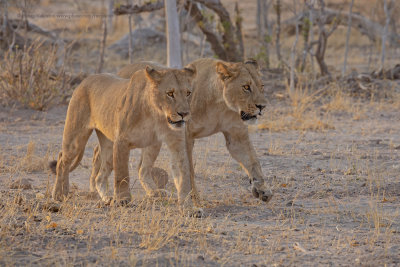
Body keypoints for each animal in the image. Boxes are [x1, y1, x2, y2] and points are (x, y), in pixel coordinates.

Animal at [50, 66, 200, 215]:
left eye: (188, 93)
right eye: (170, 93)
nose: (184, 114)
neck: (157, 115)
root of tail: (85, 80)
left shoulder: (177, 143)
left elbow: (183, 176)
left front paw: (189, 207)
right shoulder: (122, 141)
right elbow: (122, 175)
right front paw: (123, 200)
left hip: (126, 146)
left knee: (111, 174)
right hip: (76, 136)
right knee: (62, 159)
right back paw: (59, 193)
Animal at [90, 58, 274, 204]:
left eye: (262, 86)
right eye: (246, 87)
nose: (262, 106)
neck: (221, 105)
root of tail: (120, 71)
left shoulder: (236, 135)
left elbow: (253, 160)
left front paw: (262, 188)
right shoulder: (185, 135)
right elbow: (189, 170)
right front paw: (193, 197)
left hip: (152, 139)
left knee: (141, 167)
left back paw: (154, 193)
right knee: (98, 151)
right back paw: (95, 190)